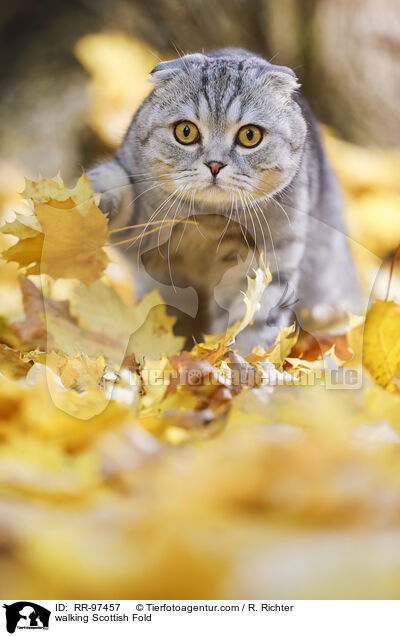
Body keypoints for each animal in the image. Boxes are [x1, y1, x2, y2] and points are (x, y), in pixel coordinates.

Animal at [88, 47, 360, 350]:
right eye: (185, 131)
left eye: (250, 136)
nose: (215, 165)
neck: (207, 222)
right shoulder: (140, 223)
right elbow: (112, 185)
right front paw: (88, 201)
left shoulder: (262, 267)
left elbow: (249, 327)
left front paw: (239, 361)